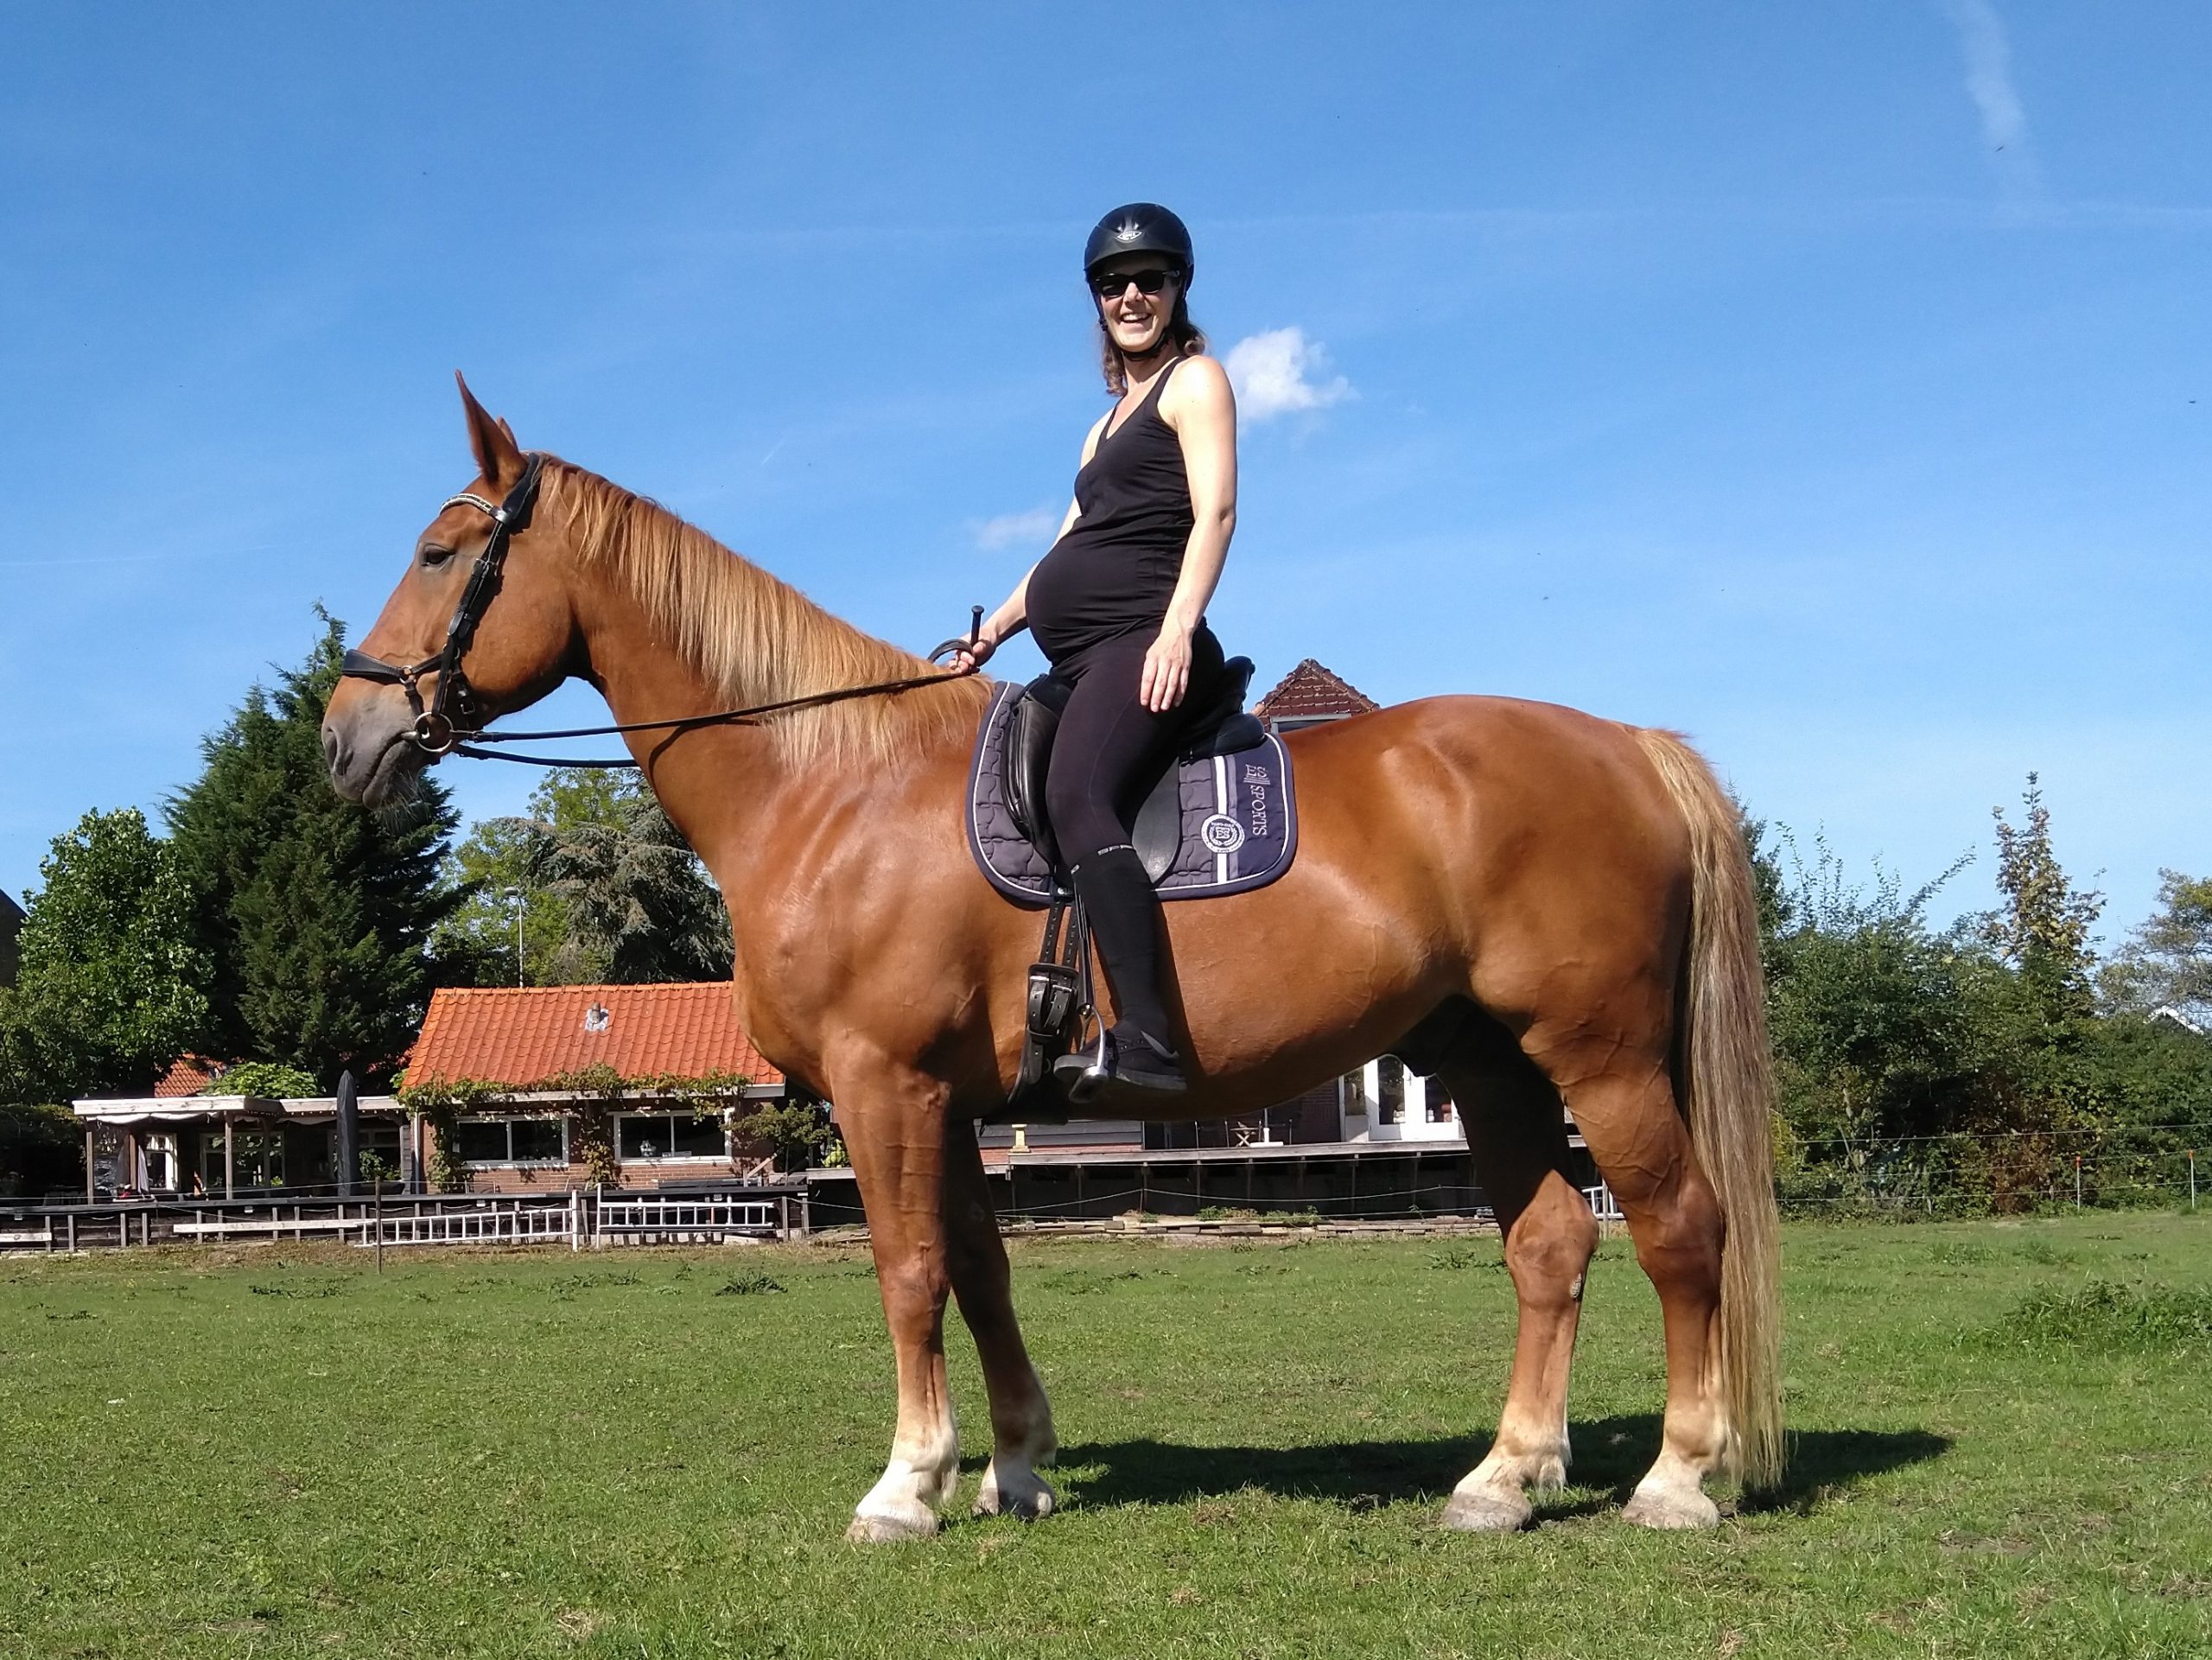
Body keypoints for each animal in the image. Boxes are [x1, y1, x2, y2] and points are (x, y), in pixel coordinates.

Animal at [323, 378, 1782, 1540]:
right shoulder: (951, 1102)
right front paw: (1013, 1466)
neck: (831, 785)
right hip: (1488, 1059)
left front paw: (906, 1484)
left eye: (440, 550)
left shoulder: (886, 1084)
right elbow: (980, 1270)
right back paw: (1504, 1477)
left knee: (1680, 1229)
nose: (344, 736)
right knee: (1550, 1242)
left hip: (1600, 1057)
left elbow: (910, 1273)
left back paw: (1673, 1477)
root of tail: (1628, 743)